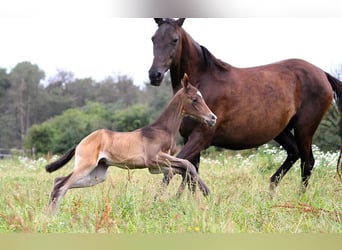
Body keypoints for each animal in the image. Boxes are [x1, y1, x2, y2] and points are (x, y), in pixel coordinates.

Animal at [45, 73, 216, 215]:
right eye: (195, 99)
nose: (212, 118)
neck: (162, 129)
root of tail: (80, 143)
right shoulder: (154, 158)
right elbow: (188, 164)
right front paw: (206, 192)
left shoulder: (156, 167)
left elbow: (181, 170)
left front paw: (195, 194)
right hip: (86, 166)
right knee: (61, 185)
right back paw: (49, 218)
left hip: (97, 174)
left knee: (58, 182)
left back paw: (50, 216)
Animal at [148, 18, 342, 194]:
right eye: (153, 39)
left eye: (175, 40)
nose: (154, 75)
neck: (203, 82)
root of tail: (322, 73)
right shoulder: (190, 138)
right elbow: (189, 173)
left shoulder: (201, 138)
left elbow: (174, 169)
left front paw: (159, 201)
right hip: (281, 131)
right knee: (294, 153)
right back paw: (270, 191)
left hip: (304, 128)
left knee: (307, 162)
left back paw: (298, 199)